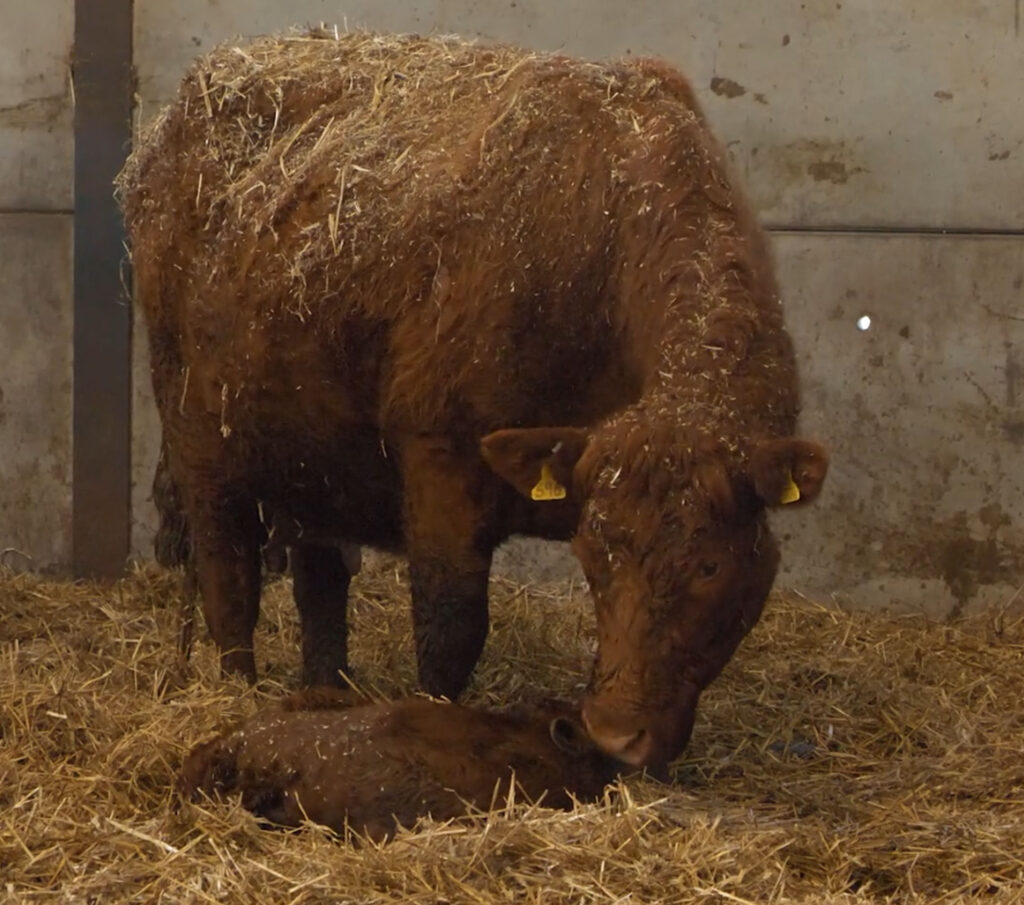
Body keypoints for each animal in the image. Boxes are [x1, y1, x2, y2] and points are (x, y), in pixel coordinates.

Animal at [116, 33, 827, 769]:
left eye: (710, 564)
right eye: (595, 558)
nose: (615, 731)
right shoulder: (442, 465)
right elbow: (450, 629)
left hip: (316, 457)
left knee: (321, 583)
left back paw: (324, 690)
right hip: (203, 444)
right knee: (229, 581)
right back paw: (238, 691)